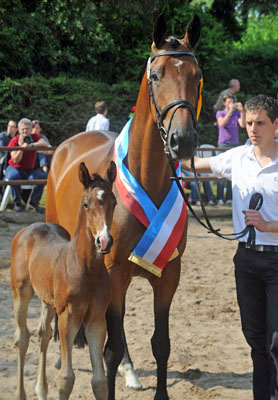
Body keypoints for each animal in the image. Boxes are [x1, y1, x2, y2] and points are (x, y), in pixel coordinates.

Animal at [10, 161, 117, 398]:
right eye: (86, 204)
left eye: (114, 202)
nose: (104, 240)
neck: (87, 269)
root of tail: (27, 230)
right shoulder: (68, 317)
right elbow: (66, 379)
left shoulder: (96, 319)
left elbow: (99, 381)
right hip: (21, 292)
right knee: (22, 337)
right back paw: (21, 393)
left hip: (48, 301)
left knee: (43, 333)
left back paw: (41, 390)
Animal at [45, 13, 202, 400]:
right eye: (156, 75)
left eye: (196, 76)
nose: (183, 140)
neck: (148, 181)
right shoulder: (114, 271)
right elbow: (111, 349)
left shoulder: (168, 275)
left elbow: (161, 343)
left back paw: (130, 371)